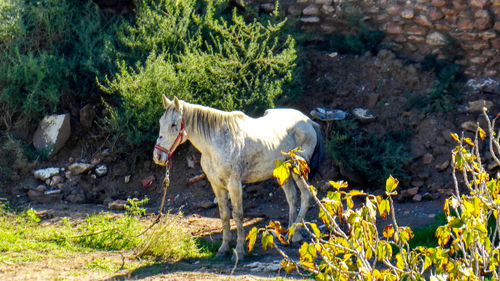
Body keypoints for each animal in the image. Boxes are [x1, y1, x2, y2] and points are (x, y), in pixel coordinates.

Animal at [152, 95, 324, 260]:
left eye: (174, 124)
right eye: (160, 122)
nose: (158, 156)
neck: (217, 143)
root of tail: (309, 122)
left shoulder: (234, 185)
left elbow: (238, 215)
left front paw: (240, 250)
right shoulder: (217, 186)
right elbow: (224, 215)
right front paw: (223, 248)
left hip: (297, 170)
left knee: (306, 195)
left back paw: (296, 234)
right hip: (284, 174)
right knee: (292, 198)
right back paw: (287, 234)